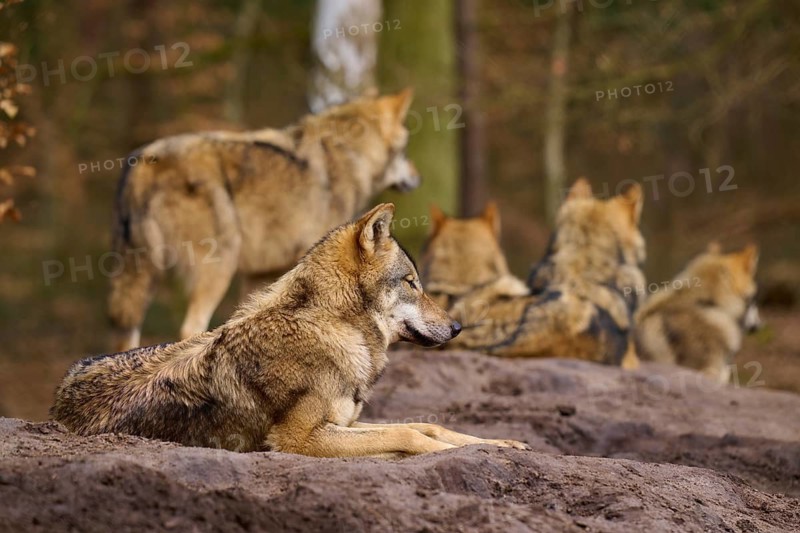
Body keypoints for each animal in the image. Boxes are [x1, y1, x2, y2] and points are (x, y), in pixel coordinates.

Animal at [53, 204, 528, 457]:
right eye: (412, 282)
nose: (458, 326)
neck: (330, 328)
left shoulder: (346, 421)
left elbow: (427, 426)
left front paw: (501, 443)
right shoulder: (298, 438)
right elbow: (407, 432)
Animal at [109, 89, 421, 351]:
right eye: (406, 150)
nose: (417, 177)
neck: (347, 152)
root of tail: (147, 161)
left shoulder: (259, 274)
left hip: (140, 276)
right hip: (219, 265)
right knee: (190, 328)